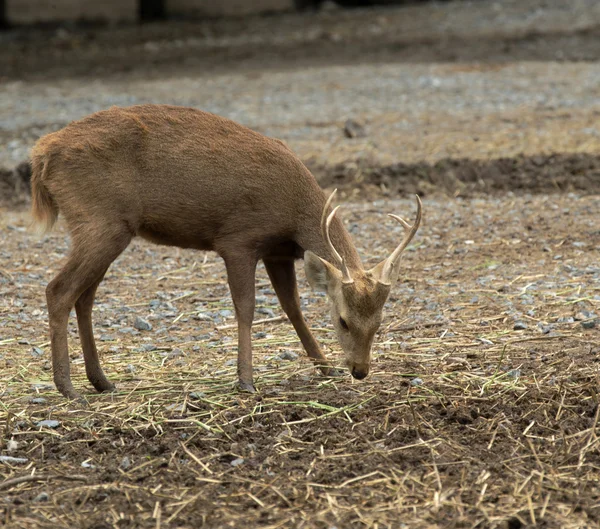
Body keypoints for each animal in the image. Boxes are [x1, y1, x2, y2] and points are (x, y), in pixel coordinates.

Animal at [29, 103, 422, 400]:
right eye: (342, 320)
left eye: (380, 322)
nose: (359, 370)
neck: (295, 213)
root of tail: (42, 154)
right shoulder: (238, 240)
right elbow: (246, 308)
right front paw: (246, 380)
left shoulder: (277, 252)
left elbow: (292, 307)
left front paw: (323, 365)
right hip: (100, 221)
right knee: (58, 290)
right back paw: (67, 388)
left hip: (107, 229)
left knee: (85, 296)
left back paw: (101, 381)